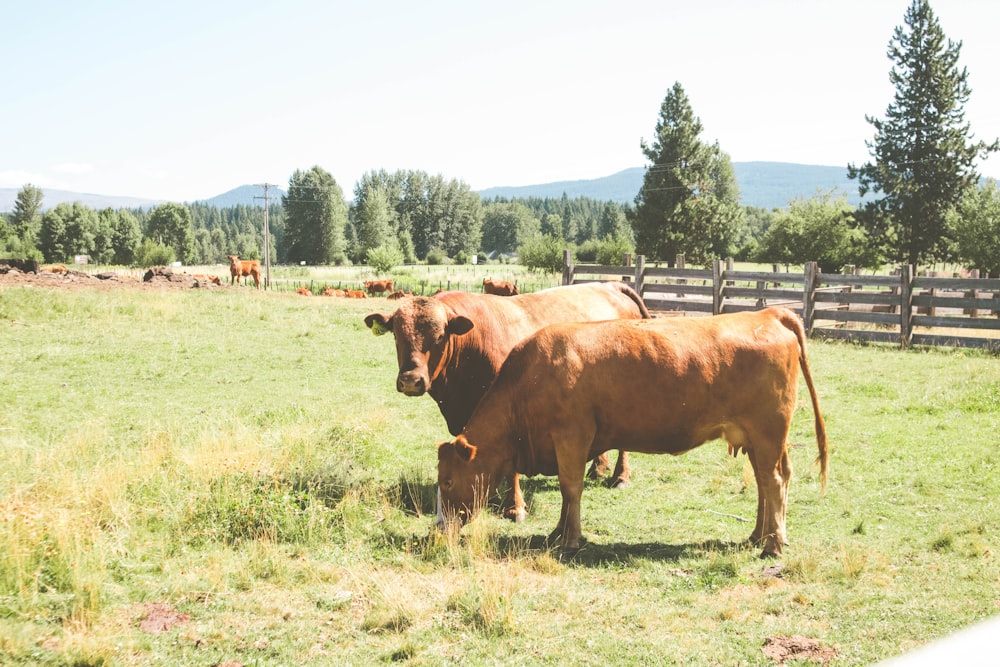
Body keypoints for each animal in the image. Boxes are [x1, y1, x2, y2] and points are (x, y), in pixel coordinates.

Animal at [364, 280, 652, 520]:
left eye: (439, 337)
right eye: (396, 335)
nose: (411, 380)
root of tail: (611, 284)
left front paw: (515, 507)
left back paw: (620, 476)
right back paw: (598, 468)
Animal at [438, 308, 828, 560]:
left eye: (447, 482)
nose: (440, 529)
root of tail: (768, 314)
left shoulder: (572, 437)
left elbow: (571, 488)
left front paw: (570, 539)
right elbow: (567, 493)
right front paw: (558, 531)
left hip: (767, 432)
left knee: (774, 482)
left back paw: (772, 545)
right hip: (761, 439)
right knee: (768, 480)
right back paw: (759, 535)